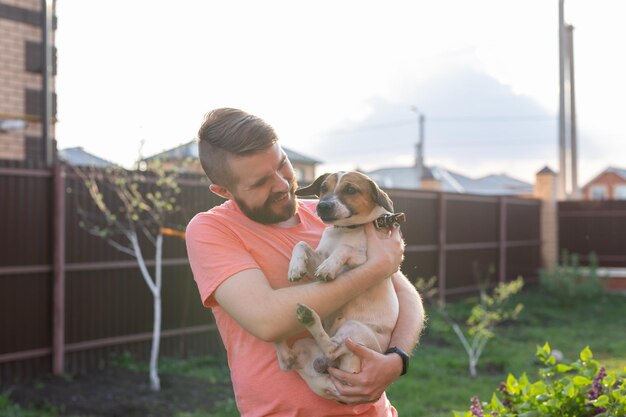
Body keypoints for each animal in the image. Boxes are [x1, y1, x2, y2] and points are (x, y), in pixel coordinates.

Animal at [274, 171, 404, 400]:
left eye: (350, 189)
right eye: (323, 188)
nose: (322, 206)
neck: (345, 230)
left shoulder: (366, 259)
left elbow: (344, 249)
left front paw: (329, 268)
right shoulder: (318, 257)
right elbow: (301, 245)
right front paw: (295, 267)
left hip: (353, 329)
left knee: (331, 347)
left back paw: (309, 318)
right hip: (305, 346)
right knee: (287, 362)